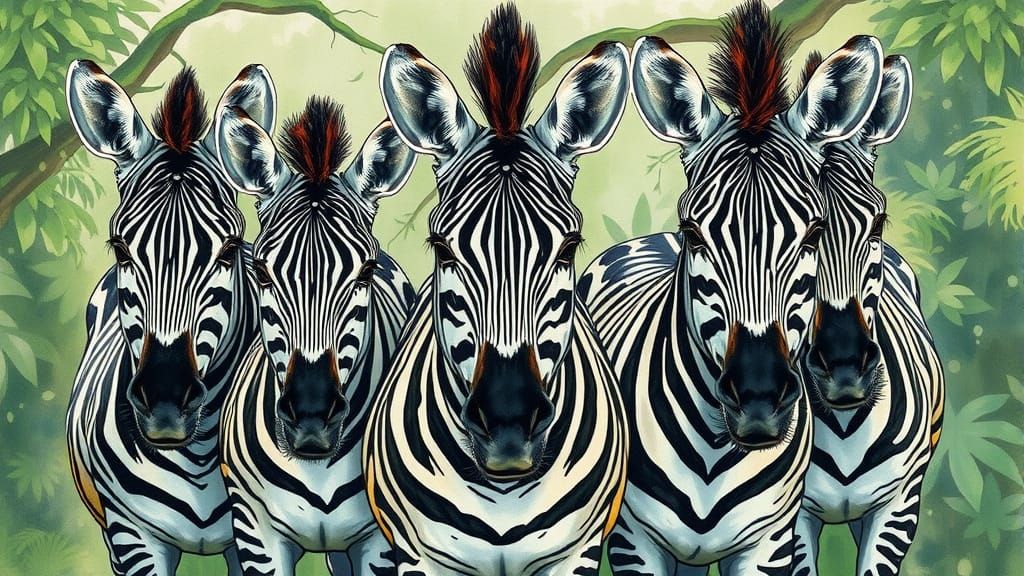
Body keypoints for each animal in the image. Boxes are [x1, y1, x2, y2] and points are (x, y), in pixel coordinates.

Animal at [65, 61, 275, 575]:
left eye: (229, 249)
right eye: (121, 248)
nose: (164, 401)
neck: (195, 458)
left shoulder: (250, 534)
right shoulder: (131, 535)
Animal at [578, 2, 886, 573]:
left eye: (812, 232)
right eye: (694, 232)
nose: (759, 399)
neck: (714, 451)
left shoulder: (769, 540)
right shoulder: (634, 540)